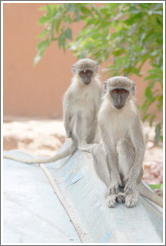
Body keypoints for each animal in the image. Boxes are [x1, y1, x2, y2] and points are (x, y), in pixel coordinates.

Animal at [81, 76, 163, 208]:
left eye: (123, 92)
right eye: (115, 91)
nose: (119, 100)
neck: (117, 111)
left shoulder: (134, 116)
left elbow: (140, 146)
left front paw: (131, 185)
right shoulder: (101, 116)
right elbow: (109, 149)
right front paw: (113, 183)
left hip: (139, 173)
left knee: (123, 144)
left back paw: (132, 192)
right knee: (98, 150)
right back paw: (114, 194)